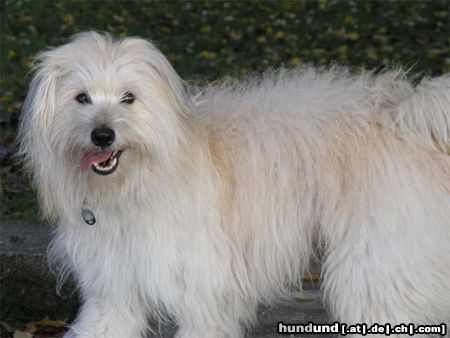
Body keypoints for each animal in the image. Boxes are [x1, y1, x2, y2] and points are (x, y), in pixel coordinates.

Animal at [19, 31, 448, 336]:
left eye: (129, 98)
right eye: (81, 98)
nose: (103, 135)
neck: (138, 184)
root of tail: (403, 114)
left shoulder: (203, 297)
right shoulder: (112, 294)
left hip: (376, 271)